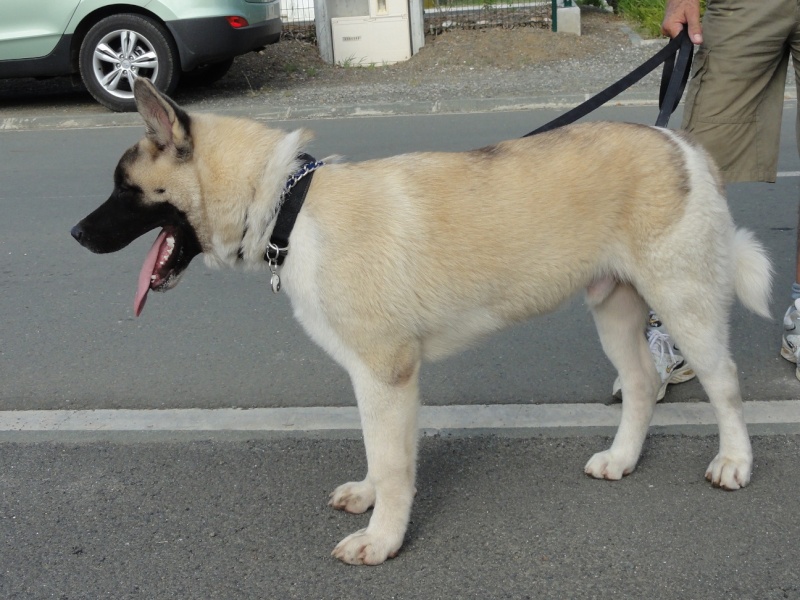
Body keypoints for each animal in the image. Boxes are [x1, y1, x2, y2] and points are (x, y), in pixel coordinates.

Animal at [72, 81, 772, 568]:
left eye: (125, 189)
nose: (75, 235)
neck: (287, 206)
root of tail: (685, 147)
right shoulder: (373, 380)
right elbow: (380, 456)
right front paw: (370, 500)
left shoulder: (387, 374)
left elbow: (392, 465)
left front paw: (382, 540)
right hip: (614, 310)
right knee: (643, 384)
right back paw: (622, 459)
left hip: (684, 305)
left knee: (726, 385)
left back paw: (734, 462)